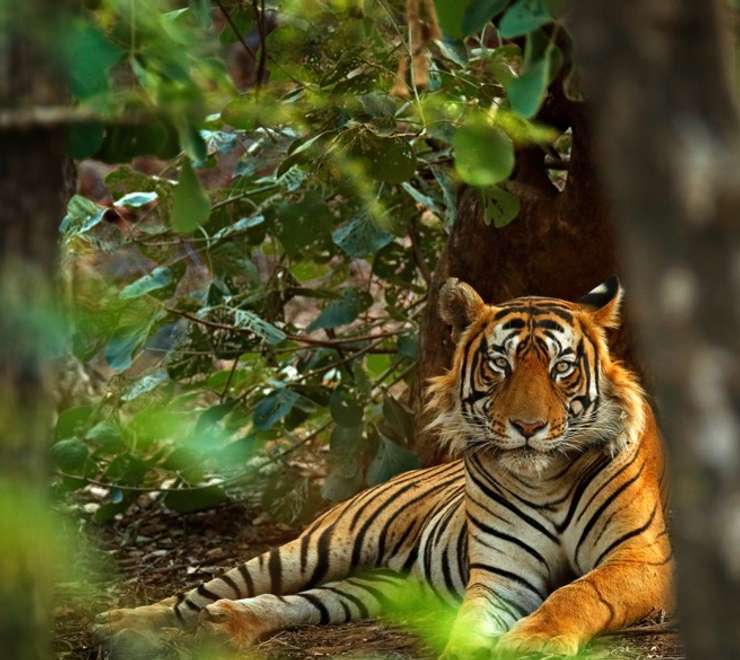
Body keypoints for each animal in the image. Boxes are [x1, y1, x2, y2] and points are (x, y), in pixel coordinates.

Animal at [95, 276, 673, 658]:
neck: (545, 478)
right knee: (201, 592)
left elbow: (578, 591)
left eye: (562, 369)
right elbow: (472, 623)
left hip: (374, 587)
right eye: (499, 365)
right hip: (318, 546)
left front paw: (535, 639)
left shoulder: (643, 557)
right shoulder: (501, 575)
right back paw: (123, 622)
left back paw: (226, 625)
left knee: (303, 602)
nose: (527, 427)